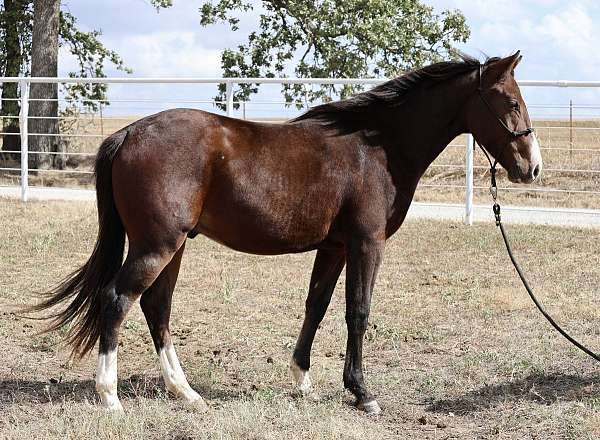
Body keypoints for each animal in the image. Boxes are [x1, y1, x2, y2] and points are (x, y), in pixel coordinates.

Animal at [30, 51, 540, 412]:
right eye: (512, 102)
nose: (532, 168)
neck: (376, 147)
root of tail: (128, 134)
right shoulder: (366, 244)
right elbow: (358, 312)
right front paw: (362, 392)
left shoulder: (334, 248)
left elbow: (316, 306)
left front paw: (303, 380)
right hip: (156, 246)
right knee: (118, 300)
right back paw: (110, 396)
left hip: (171, 248)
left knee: (156, 307)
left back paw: (185, 392)